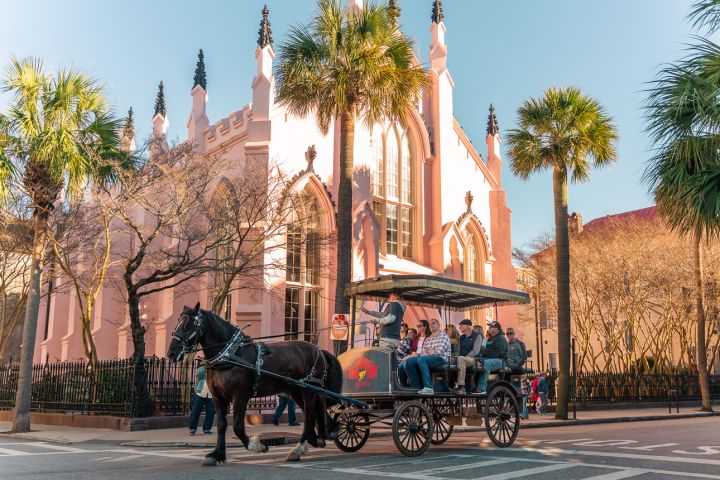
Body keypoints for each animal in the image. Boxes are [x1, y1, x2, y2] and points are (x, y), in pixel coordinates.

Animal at [167, 304, 342, 464]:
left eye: (189, 324)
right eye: (178, 322)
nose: (171, 353)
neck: (230, 355)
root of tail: (319, 350)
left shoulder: (240, 396)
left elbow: (237, 426)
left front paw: (257, 446)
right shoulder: (218, 398)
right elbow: (222, 425)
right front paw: (217, 454)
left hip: (308, 390)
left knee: (310, 417)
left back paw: (299, 449)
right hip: (296, 391)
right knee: (315, 415)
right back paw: (319, 438)